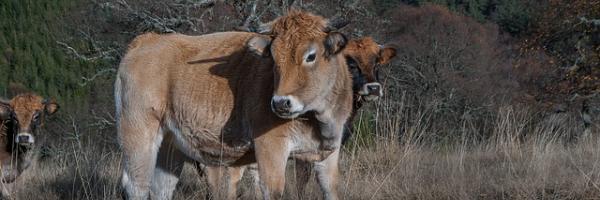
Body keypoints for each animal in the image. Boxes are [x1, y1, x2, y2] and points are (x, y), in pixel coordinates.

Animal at [113, 10, 352, 199]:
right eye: (274, 58)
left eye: (311, 56)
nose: (280, 103)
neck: (318, 120)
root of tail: (147, 40)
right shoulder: (270, 149)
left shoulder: (328, 156)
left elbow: (331, 190)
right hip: (138, 137)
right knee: (137, 186)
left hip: (170, 147)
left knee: (161, 188)